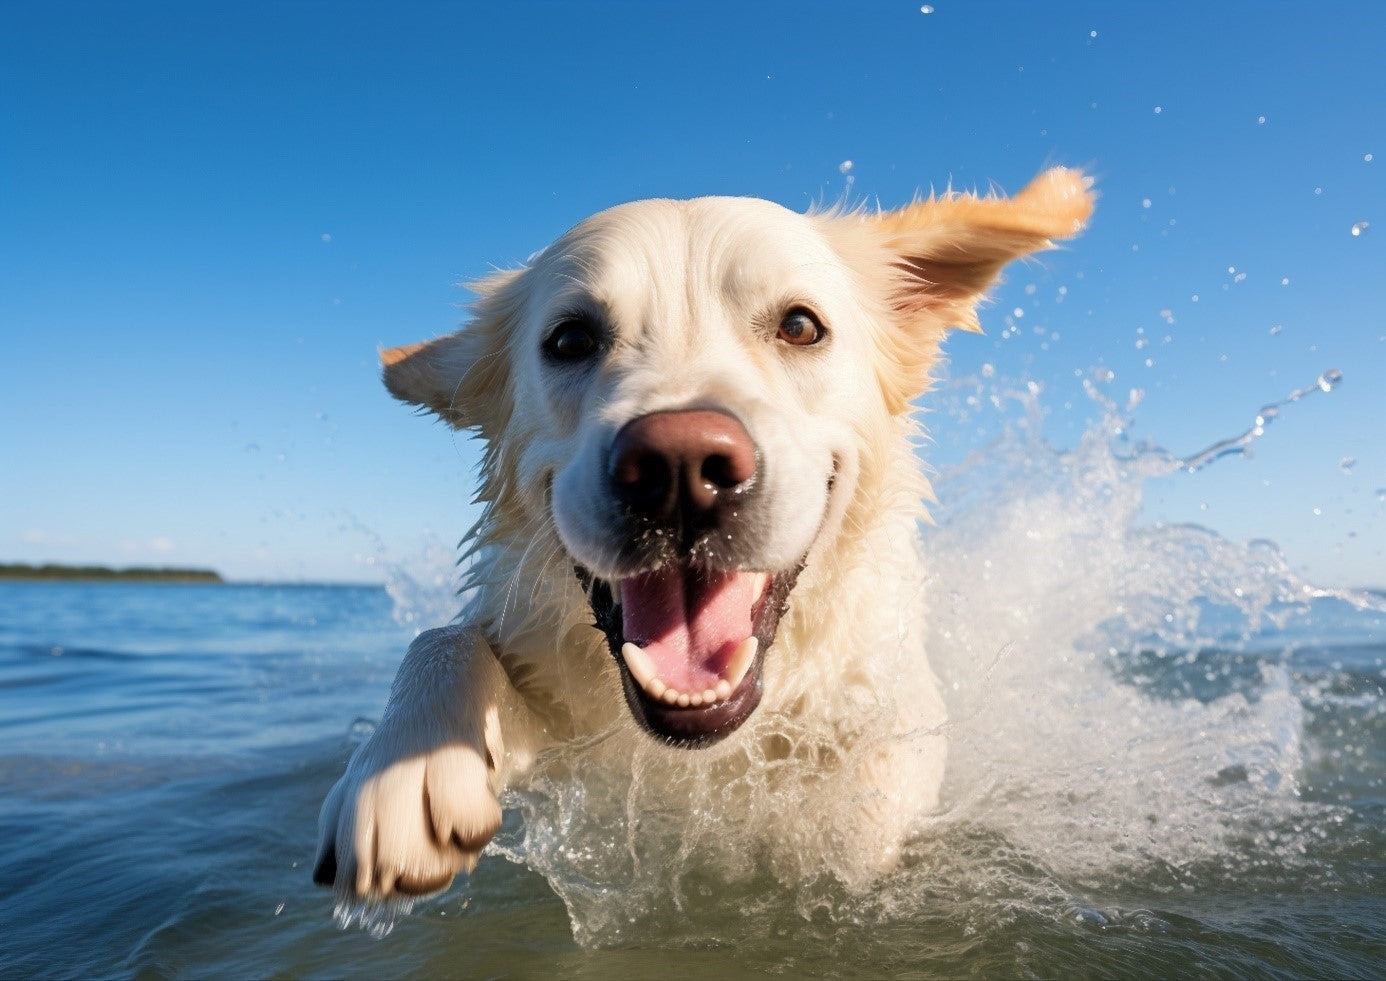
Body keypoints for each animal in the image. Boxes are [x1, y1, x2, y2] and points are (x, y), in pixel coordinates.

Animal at [311, 166, 1092, 897]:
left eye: (800, 325)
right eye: (570, 338)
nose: (678, 468)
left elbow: (877, 776)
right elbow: (442, 638)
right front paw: (403, 767)